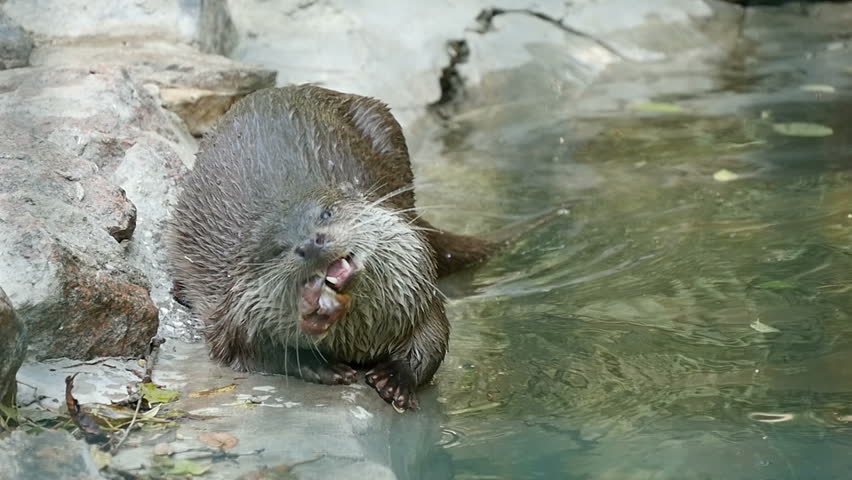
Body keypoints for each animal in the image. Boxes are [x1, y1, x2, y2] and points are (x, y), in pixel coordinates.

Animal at [168, 85, 494, 410]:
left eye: (326, 213)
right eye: (278, 247)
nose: (310, 243)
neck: (360, 333)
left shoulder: (416, 289)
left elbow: (433, 337)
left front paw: (395, 379)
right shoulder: (233, 314)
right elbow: (253, 351)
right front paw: (321, 365)